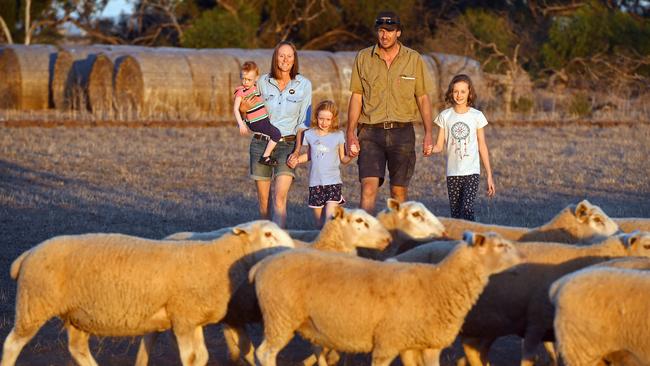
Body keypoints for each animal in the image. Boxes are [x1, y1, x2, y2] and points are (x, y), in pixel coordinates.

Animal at [0, 220, 294, 366]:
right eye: (268, 234)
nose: (291, 251)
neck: (219, 258)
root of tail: (28, 253)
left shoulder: (190, 318)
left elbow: (202, 357)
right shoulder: (183, 319)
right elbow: (192, 357)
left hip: (78, 315)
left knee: (77, 349)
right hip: (34, 303)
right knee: (12, 344)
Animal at [248, 232, 520, 366]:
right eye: (500, 246)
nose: (522, 259)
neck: (439, 282)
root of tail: (263, 264)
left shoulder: (420, 344)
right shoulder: (387, 343)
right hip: (280, 317)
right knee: (265, 353)